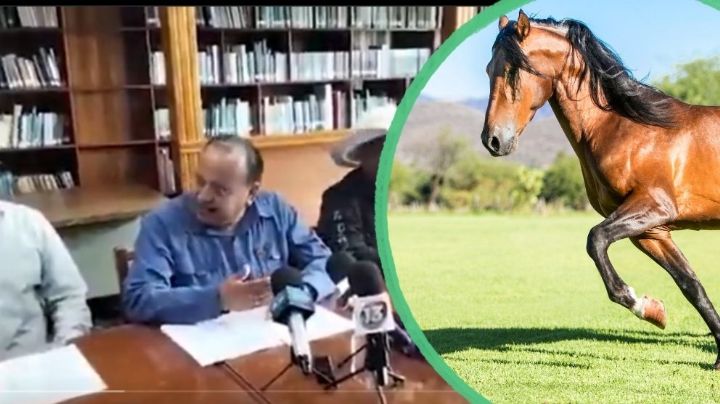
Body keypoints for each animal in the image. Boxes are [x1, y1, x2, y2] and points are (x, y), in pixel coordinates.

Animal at [481, 9, 720, 370]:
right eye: (488, 69)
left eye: (513, 70)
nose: (493, 140)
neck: (627, 126)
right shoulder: (652, 231)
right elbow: (691, 285)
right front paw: (658, 313)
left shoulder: (652, 206)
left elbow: (595, 240)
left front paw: (641, 304)